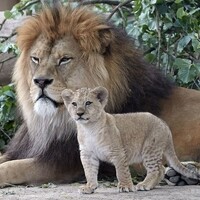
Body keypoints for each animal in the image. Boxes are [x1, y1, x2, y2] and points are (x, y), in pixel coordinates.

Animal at [0, 5, 199, 186]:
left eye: (65, 59)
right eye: (35, 59)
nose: (40, 81)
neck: (52, 121)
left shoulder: (63, 163)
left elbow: (11, 168)